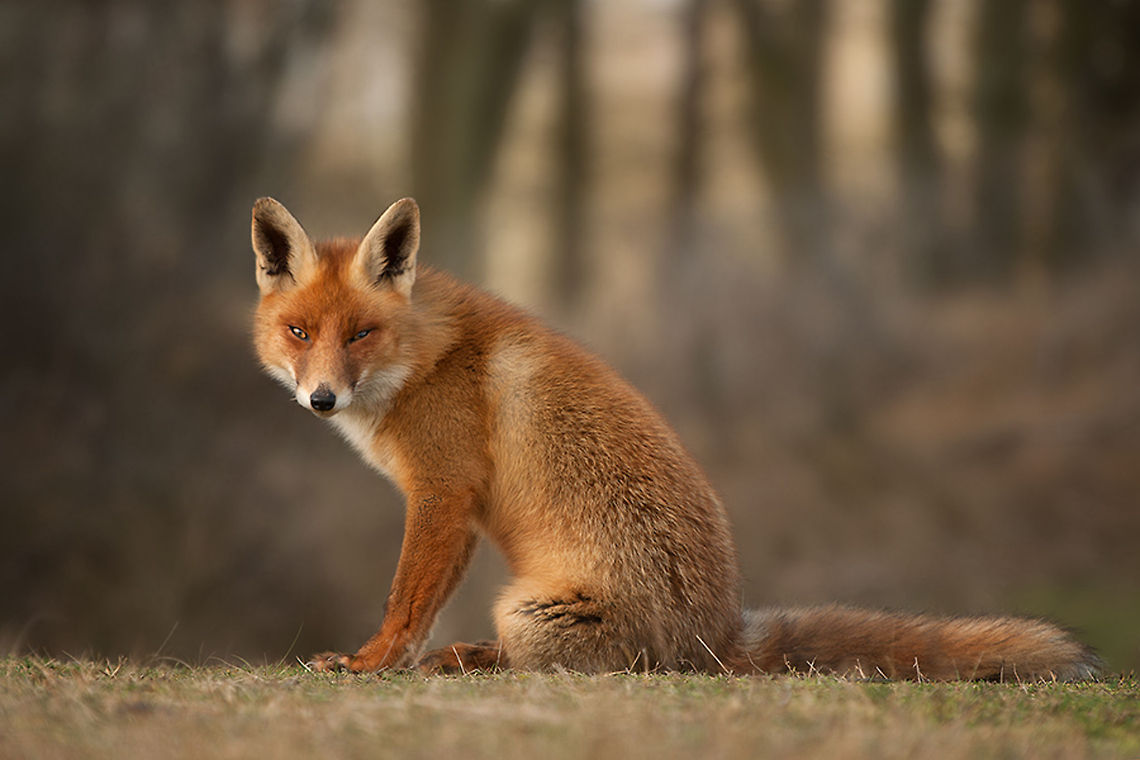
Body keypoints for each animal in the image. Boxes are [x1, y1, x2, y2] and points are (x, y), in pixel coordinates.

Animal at [250, 196, 1101, 681]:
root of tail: (718, 640)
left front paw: (371, 664)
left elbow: (405, 603)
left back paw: (462, 662)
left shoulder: (443, 494)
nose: (321, 398)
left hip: (531, 610)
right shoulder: (447, 502)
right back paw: (463, 660)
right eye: (300, 333)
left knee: (571, 667)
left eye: (361, 334)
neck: (421, 357)